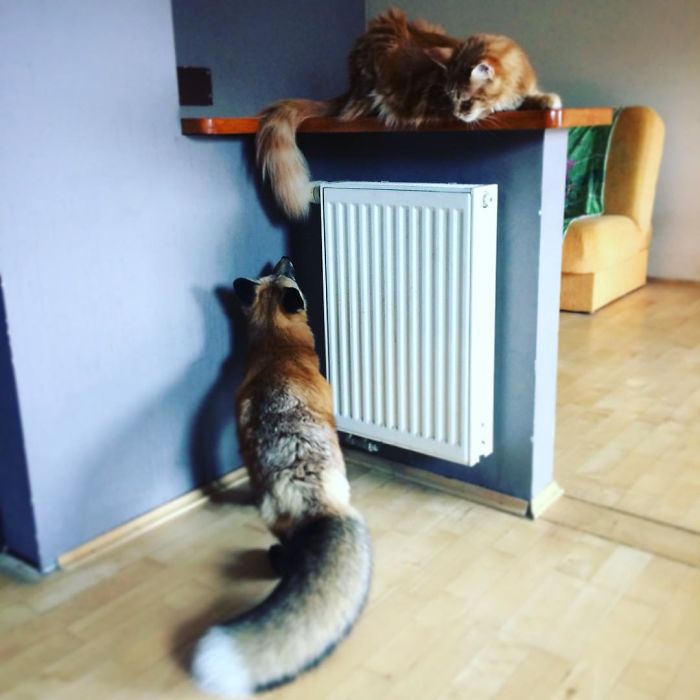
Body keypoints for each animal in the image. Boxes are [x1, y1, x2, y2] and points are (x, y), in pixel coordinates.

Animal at [191, 257, 372, 697]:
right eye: (285, 273)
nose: (285, 258)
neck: (279, 351)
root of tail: (317, 502)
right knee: (288, 556)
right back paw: (273, 560)